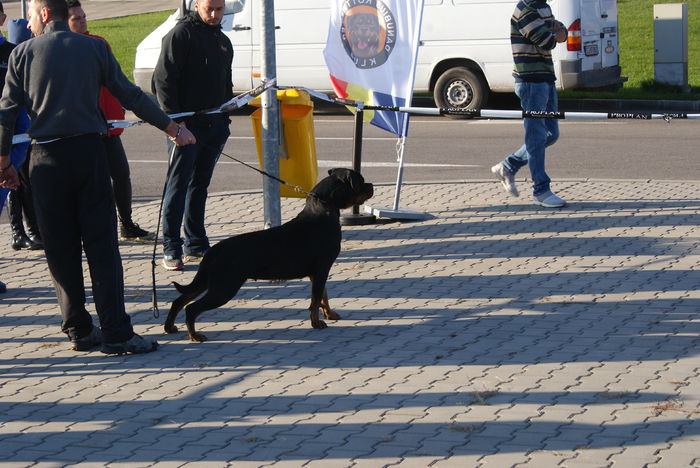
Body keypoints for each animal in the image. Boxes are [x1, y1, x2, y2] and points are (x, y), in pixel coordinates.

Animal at [165, 168, 372, 340]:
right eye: (360, 181)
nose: (371, 185)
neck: (324, 209)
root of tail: (214, 250)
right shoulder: (322, 268)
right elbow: (315, 299)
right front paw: (316, 322)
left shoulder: (318, 272)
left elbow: (323, 295)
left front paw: (330, 314)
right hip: (224, 287)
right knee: (192, 308)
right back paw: (194, 336)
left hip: (208, 281)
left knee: (179, 300)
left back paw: (170, 327)